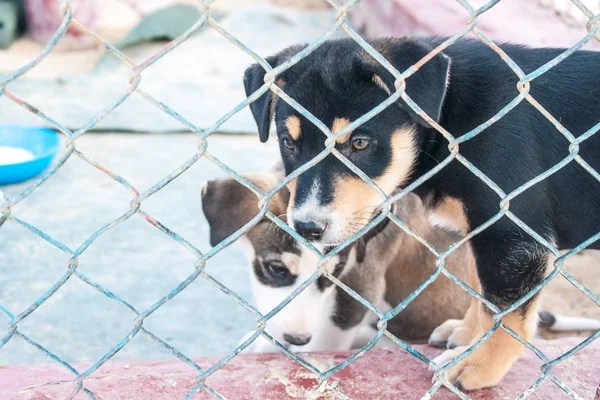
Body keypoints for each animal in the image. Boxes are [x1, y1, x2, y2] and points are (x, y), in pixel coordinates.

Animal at [244, 38, 600, 390]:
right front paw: (467, 335)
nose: (306, 228)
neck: (449, 119)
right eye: (288, 143)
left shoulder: (510, 234)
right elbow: (482, 293)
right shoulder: (482, 232)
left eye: (359, 143)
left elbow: (506, 311)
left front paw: (477, 365)